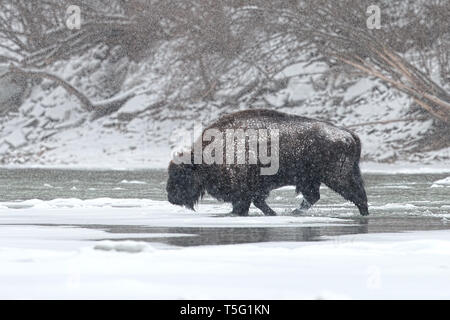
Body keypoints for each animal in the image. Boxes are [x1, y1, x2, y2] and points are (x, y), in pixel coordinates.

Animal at [166, 109, 370, 216]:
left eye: (182, 175)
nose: (170, 196)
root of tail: (347, 134)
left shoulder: (245, 192)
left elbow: (246, 204)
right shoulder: (254, 191)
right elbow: (257, 203)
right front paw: (272, 213)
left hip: (336, 177)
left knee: (356, 195)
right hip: (311, 179)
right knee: (314, 196)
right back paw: (295, 212)